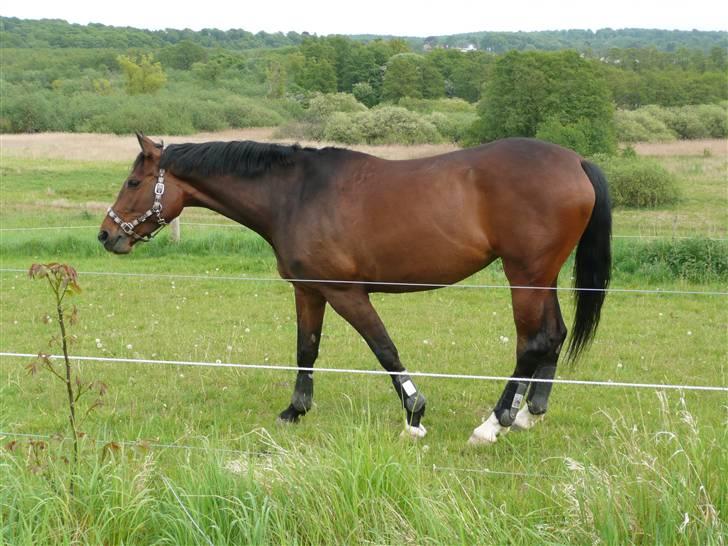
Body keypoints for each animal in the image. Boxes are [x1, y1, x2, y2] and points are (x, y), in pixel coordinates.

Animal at [98, 132, 608, 442]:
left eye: (134, 181)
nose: (106, 235)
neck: (296, 193)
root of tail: (576, 161)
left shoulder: (345, 292)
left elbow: (383, 348)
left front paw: (415, 413)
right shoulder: (309, 289)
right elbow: (307, 347)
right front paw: (295, 410)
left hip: (524, 276)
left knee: (531, 343)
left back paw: (493, 423)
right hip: (543, 277)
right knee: (553, 336)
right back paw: (527, 413)